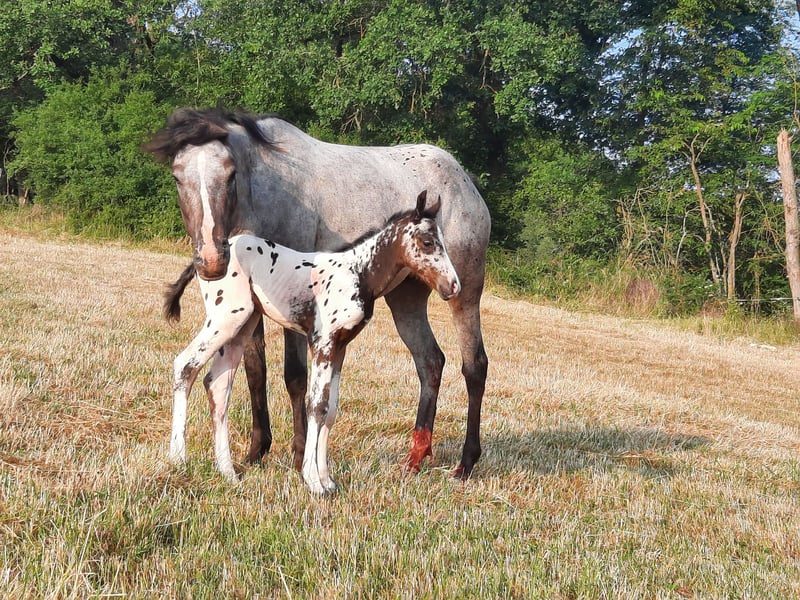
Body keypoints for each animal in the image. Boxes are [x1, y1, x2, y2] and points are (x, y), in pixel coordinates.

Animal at [169, 191, 460, 494]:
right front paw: (312, 480)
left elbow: (330, 410)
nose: (453, 286)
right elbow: (316, 405)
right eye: (427, 242)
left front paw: (327, 480)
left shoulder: (341, 346)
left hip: (241, 326)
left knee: (217, 385)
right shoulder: (322, 342)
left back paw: (227, 472)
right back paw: (178, 459)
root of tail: (209, 257)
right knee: (185, 366)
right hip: (225, 319)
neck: (357, 273)